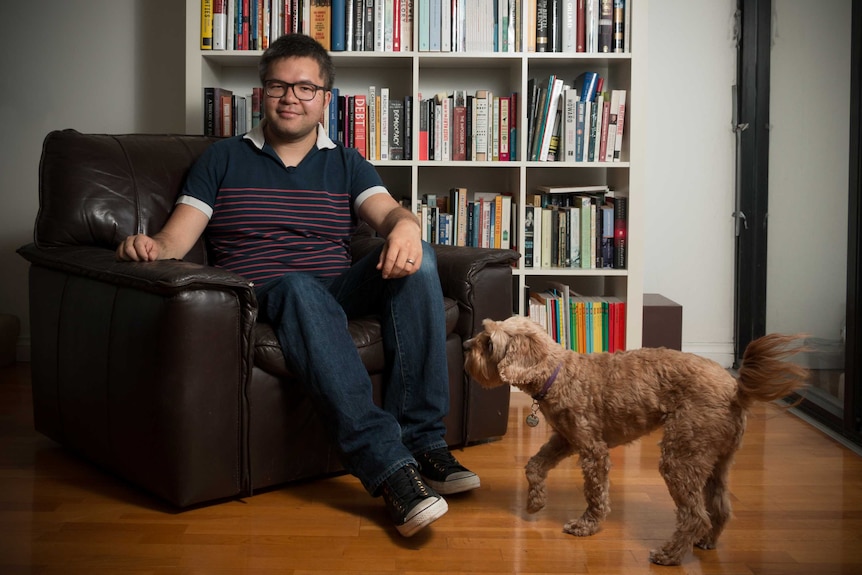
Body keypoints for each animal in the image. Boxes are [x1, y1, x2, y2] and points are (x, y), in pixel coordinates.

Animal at [466, 320, 808, 568]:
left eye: (488, 342)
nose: (466, 346)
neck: (557, 373)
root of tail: (737, 390)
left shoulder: (592, 450)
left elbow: (595, 494)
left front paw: (587, 525)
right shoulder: (565, 439)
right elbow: (534, 465)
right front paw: (535, 502)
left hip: (681, 456)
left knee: (695, 515)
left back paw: (670, 555)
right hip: (715, 458)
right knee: (720, 507)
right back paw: (707, 540)